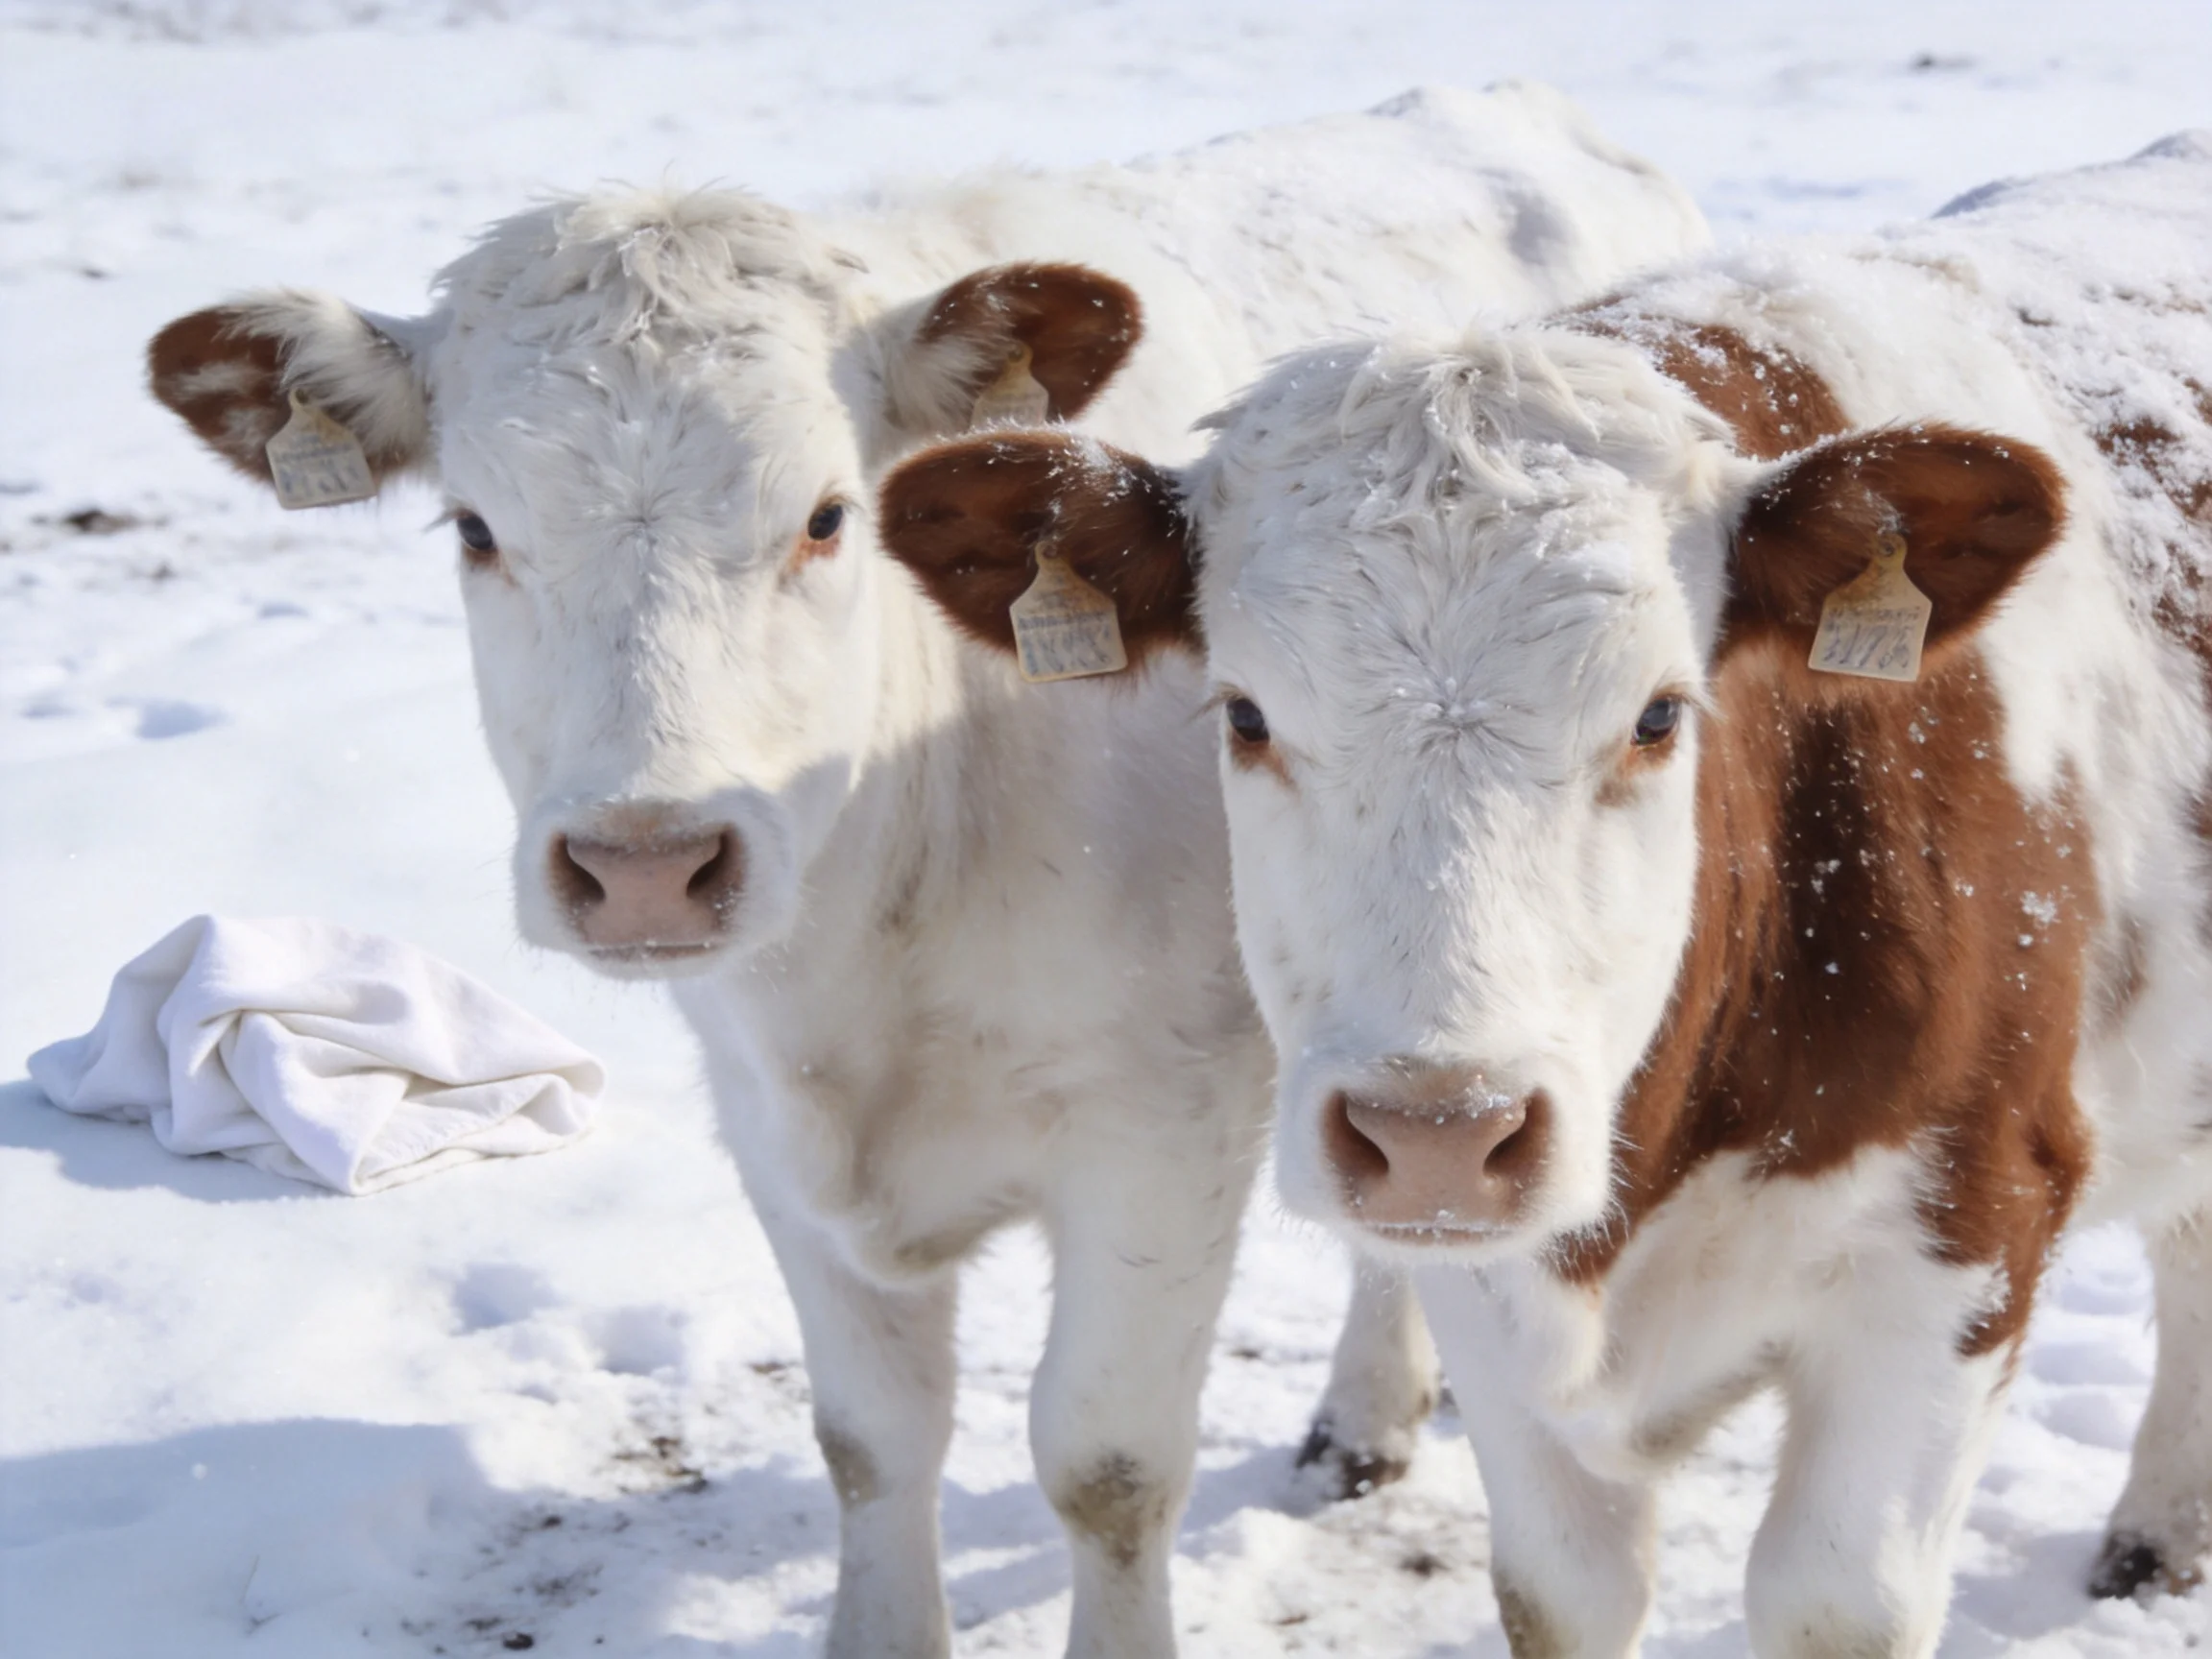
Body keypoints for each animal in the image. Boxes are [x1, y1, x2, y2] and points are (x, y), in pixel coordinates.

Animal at [141, 85, 1709, 1656]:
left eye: (830, 515)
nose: (647, 864)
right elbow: (872, 1440)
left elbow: (1108, 1464)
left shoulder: (1167, 1127)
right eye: (475, 527)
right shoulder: (765, 1120)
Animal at [877, 133, 2212, 1655]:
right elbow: (1560, 1595)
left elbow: (1831, 1604)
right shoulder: (1493, 1297)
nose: (1440, 1134)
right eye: (1245, 714)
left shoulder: (1967, 1237)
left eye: (1658, 714)